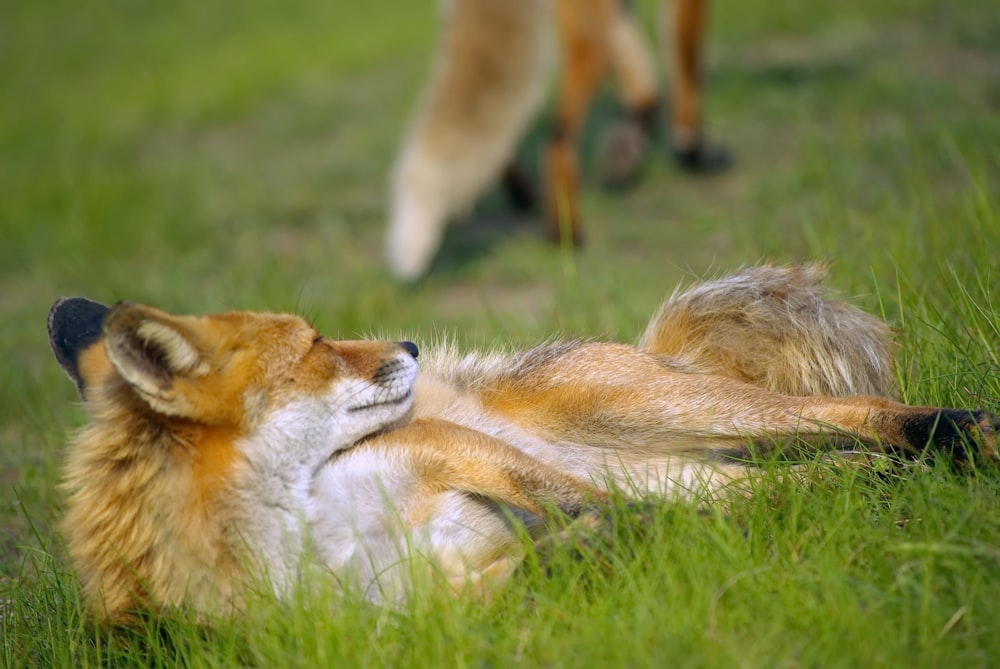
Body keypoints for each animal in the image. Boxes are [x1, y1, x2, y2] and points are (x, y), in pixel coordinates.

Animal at [50, 264, 996, 620]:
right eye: (317, 344)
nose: (411, 344)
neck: (307, 542)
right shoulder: (427, 604)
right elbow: (550, 557)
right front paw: (609, 551)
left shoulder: (438, 446)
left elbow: (583, 505)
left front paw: (630, 536)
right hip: (716, 470)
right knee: (832, 474)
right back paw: (875, 487)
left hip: (676, 407)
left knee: (867, 413)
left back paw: (965, 435)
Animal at [386, 0, 732, 280]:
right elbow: (688, 61)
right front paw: (691, 150)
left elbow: (643, 84)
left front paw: (628, 148)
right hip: (586, 41)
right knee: (557, 135)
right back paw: (566, 233)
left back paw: (525, 194)